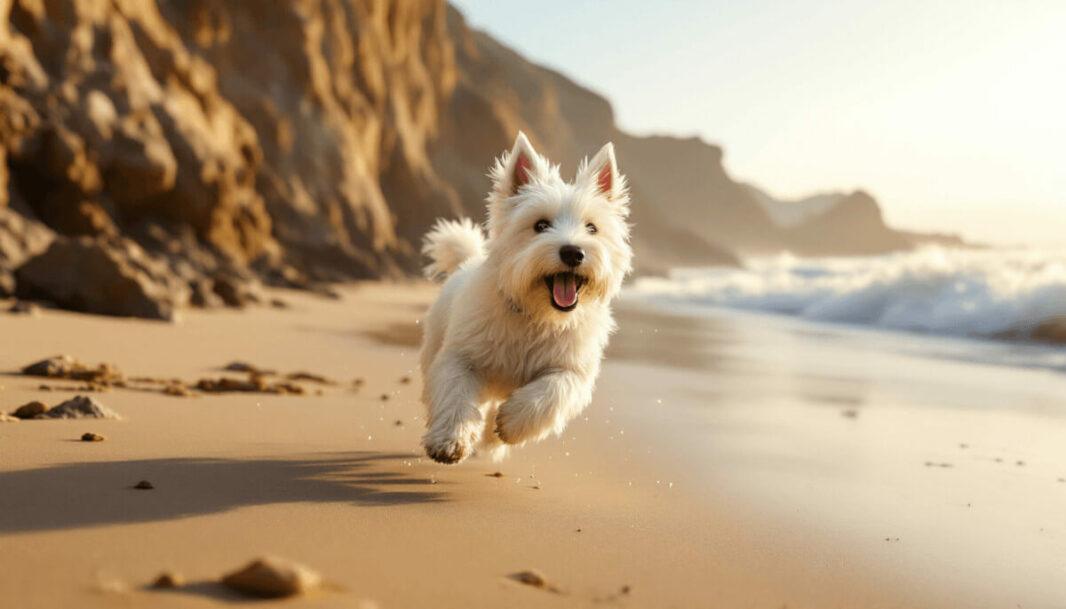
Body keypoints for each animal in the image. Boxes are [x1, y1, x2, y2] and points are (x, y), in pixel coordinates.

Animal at [415, 133, 631, 465]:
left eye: (592, 227)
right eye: (540, 225)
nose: (573, 252)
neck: (536, 314)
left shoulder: (572, 370)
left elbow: (552, 392)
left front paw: (509, 424)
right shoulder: (462, 356)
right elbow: (455, 393)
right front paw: (451, 439)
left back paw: (493, 440)